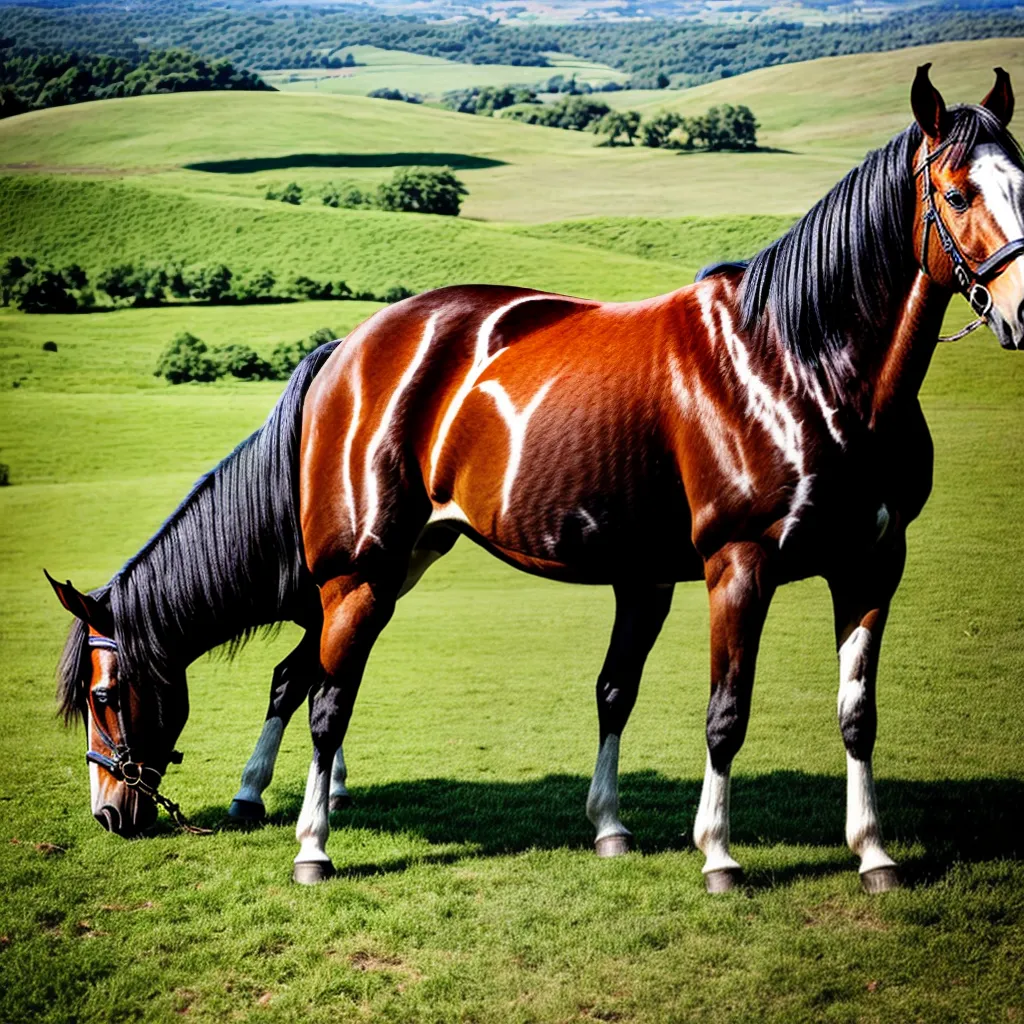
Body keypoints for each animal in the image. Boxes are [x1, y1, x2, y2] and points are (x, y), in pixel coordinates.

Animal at [50, 65, 1024, 891]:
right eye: (956, 191)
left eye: (1021, 182)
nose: (109, 811)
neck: (799, 365)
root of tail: (351, 349)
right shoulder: (737, 567)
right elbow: (725, 713)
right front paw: (718, 856)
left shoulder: (867, 565)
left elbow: (841, 713)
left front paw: (870, 853)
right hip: (359, 573)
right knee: (323, 697)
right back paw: (312, 845)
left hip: (391, 568)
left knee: (313, 682)